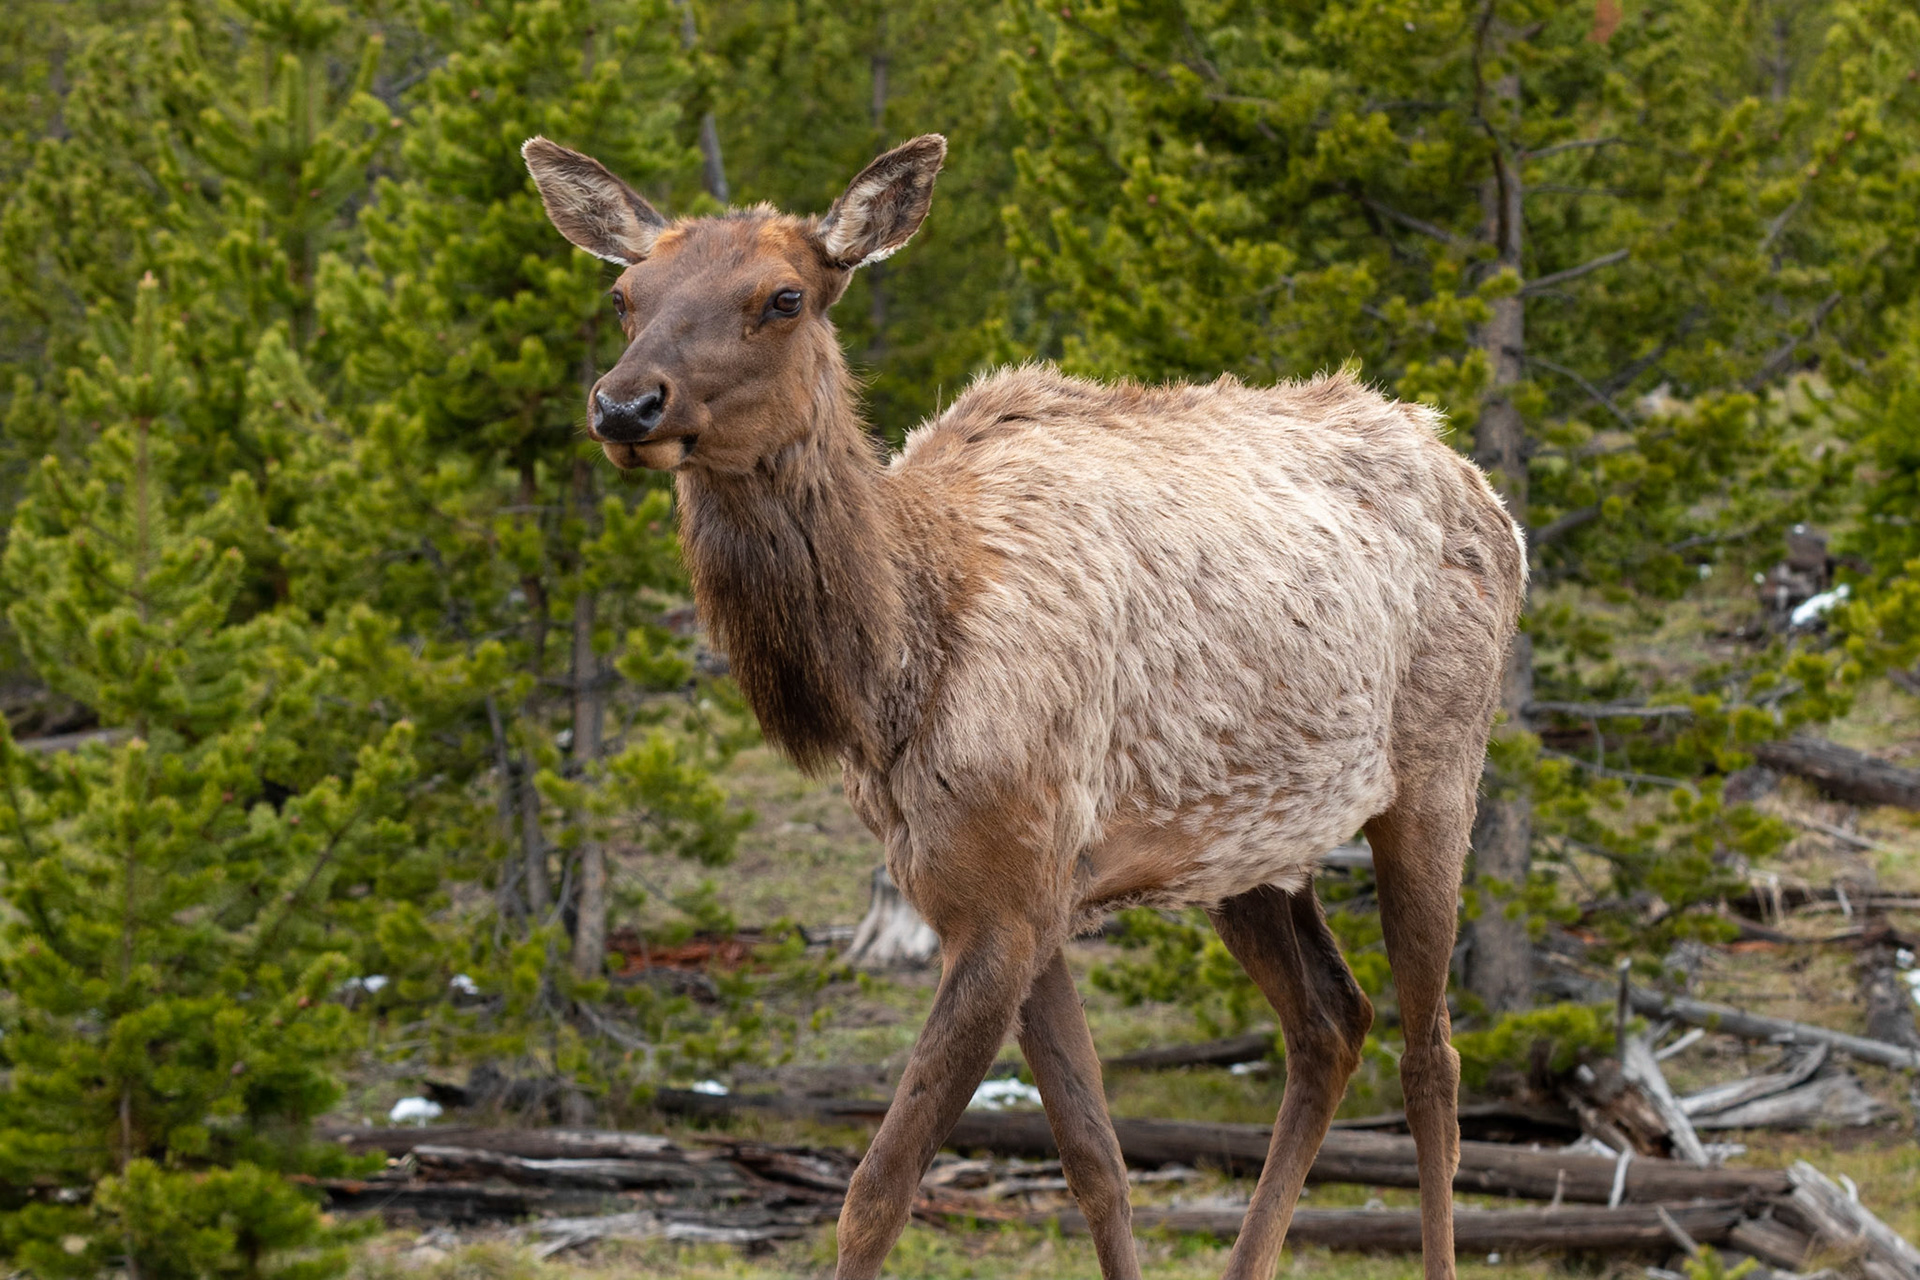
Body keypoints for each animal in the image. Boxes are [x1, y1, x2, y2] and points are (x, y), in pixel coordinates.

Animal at [523, 132, 1526, 1280]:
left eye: (783, 297)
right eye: (624, 295)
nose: (625, 406)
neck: (890, 677)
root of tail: (1484, 488)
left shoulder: (1005, 902)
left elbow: (878, 1189)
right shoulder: (1010, 892)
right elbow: (1096, 1161)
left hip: (1437, 780)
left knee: (1432, 1056)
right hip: (1250, 849)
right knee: (1331, 1021)